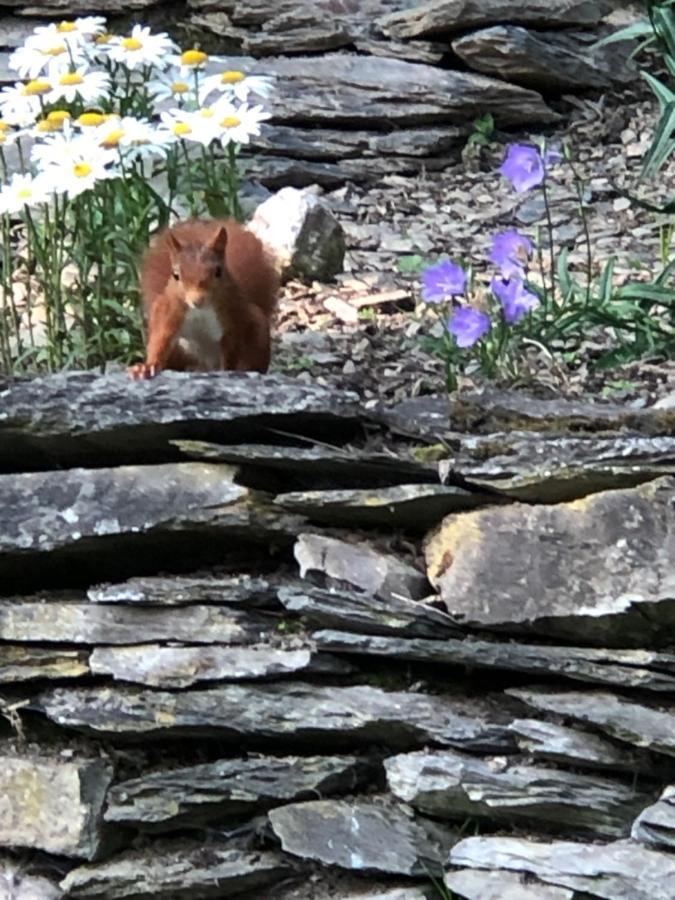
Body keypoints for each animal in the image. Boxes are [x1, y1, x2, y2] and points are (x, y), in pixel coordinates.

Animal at [129, 219, 280, 380]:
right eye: (176, 275)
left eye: (218, 271)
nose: (197, 300)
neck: (200, 312)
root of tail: (206, 367)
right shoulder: (168, 312)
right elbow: (159, 340)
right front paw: (146, 367)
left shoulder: (233, 319)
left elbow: (231, 351)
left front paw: (228, 371)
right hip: (179, 351)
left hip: (258, 330)